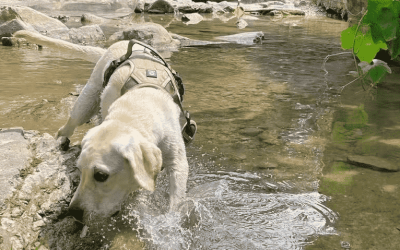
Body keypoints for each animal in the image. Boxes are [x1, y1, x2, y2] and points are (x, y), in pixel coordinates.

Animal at [14, 30, 190, 221]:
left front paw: (171, 219)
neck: (137, 108)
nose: (73, 213)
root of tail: (112, 47)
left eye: (100, 175)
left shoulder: (178, 160)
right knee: (66, 127)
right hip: (85, 104)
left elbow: (177, 196)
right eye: (79, 170)